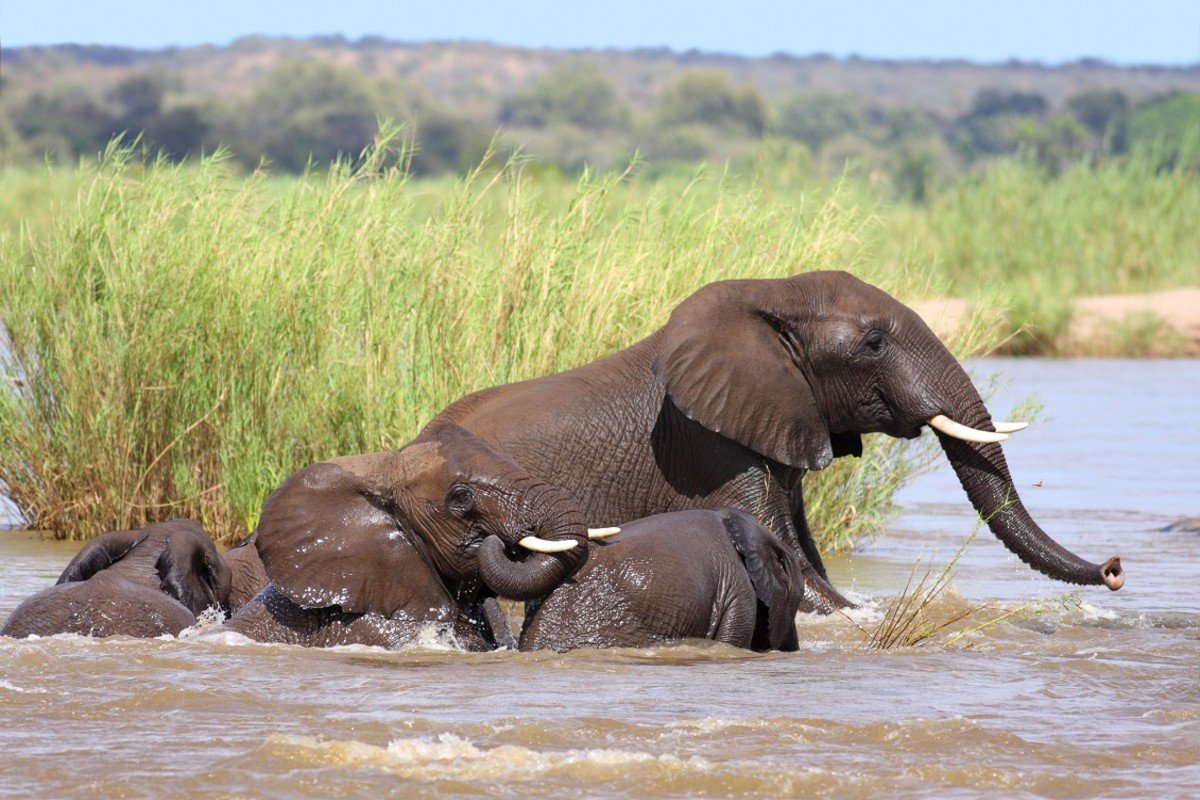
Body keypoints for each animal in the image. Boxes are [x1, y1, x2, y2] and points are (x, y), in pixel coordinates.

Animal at [429, 268, 1123, 606]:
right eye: (875, 343)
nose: (1116, 569)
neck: (772, 297)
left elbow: (805, 552)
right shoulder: (706, 448)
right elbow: (791, 563)